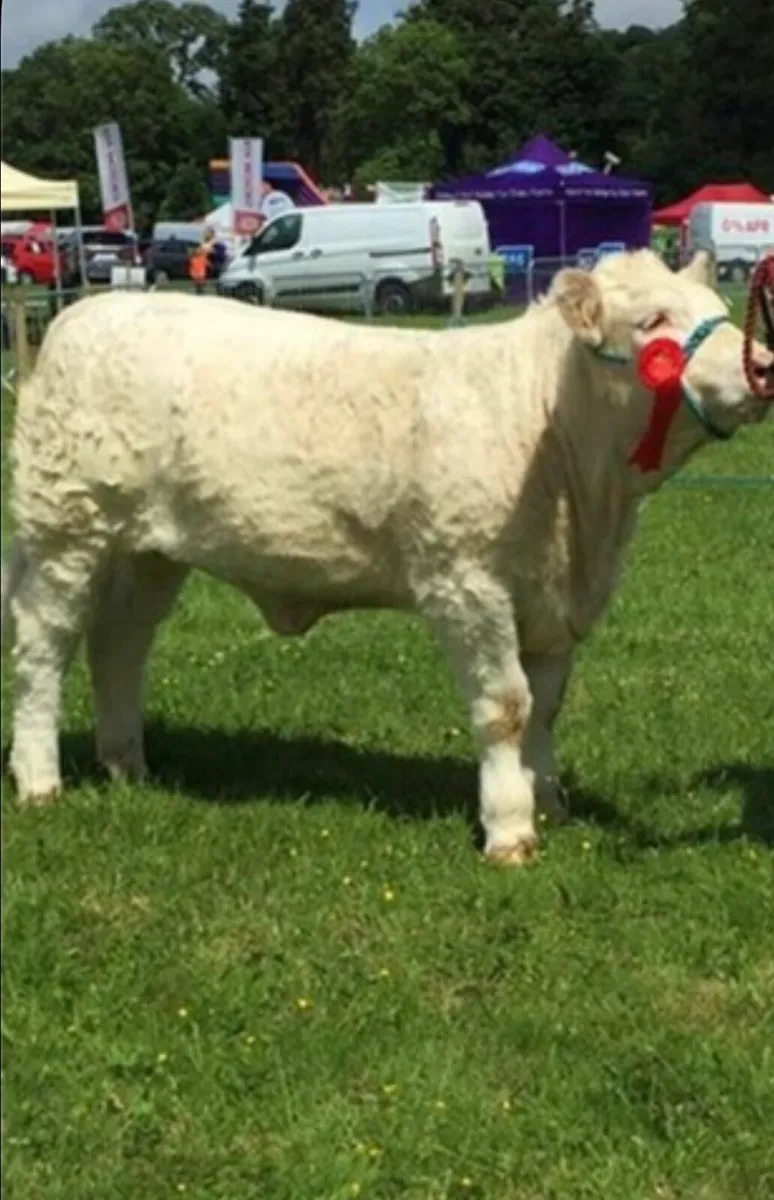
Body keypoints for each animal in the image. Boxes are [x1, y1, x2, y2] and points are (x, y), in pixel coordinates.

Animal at [2, 249, 772, 864]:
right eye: (652, 323)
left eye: (717, 312)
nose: (761, 365)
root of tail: (82, 315)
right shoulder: (466, 583)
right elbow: (505, 706)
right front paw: (510, 830)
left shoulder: (555, 602)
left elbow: (545, 709)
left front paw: (548, 802)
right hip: (66, 529)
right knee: (45, 650)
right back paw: (40, 780)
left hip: (149, 552)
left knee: (119, 647)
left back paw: (128, 767)